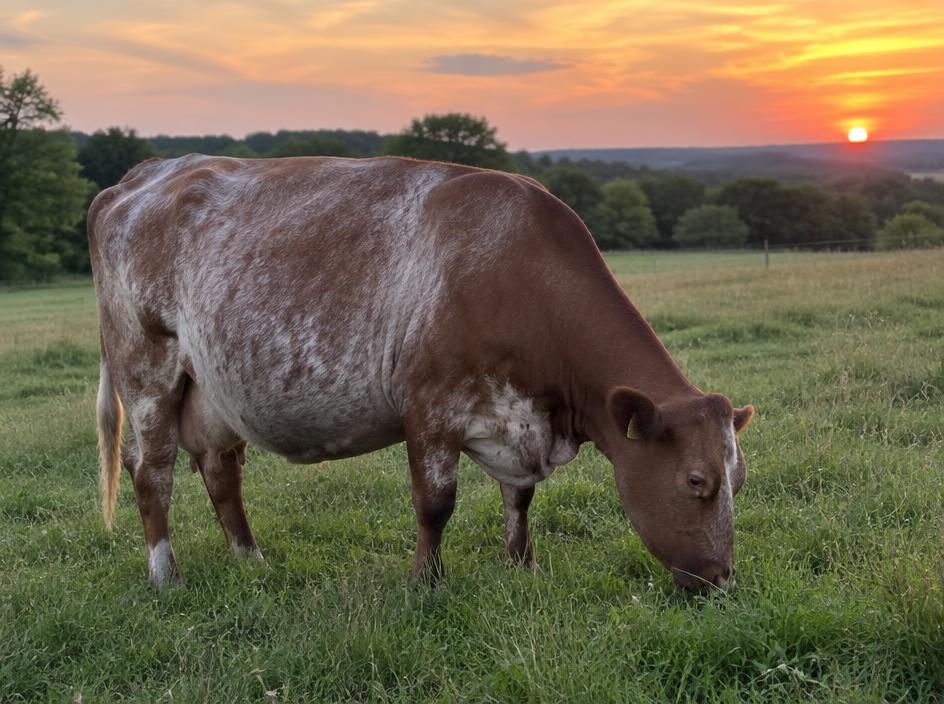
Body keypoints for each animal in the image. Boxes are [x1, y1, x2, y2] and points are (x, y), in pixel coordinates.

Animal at [88, 154, 754, 591]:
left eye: (739, 479)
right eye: (696, 481)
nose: (723, 578)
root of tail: (141, 175)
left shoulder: (518, 415)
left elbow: (521, 498)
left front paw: (523, 565)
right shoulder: (431, 407)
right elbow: (435, 503)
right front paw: (425, 582)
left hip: (213, 388)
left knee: (221, 471)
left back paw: (252, 561)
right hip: (146, 370)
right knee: (151, 474)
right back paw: (166, 576)